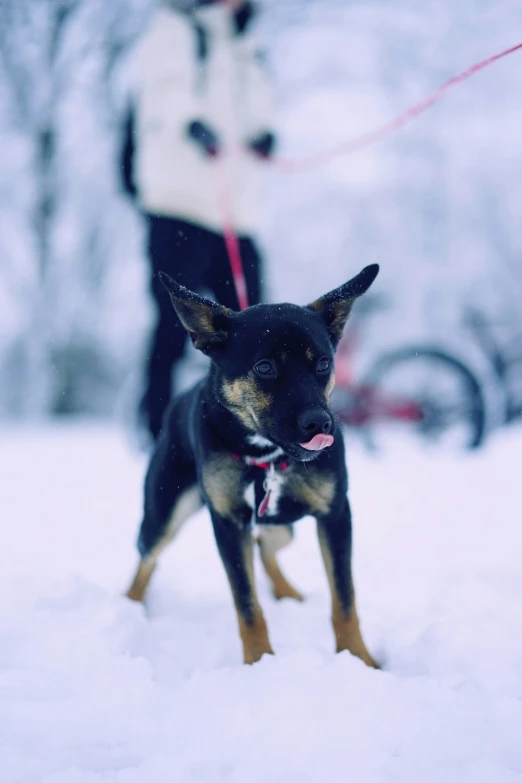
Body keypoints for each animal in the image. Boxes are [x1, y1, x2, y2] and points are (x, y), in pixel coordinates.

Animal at [126, 264, 378, 668]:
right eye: (264, 367)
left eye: (323, 364)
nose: (320, 423)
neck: (269, 458)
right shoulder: (228, 523)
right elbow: (247, 605)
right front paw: (260, 664)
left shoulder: (336, 513)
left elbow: (344, 601)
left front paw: (360, 661)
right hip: (164, 513)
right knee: (147, 556)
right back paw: (128, 607)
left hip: (280, 525)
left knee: (266, 545)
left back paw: (286, 591)